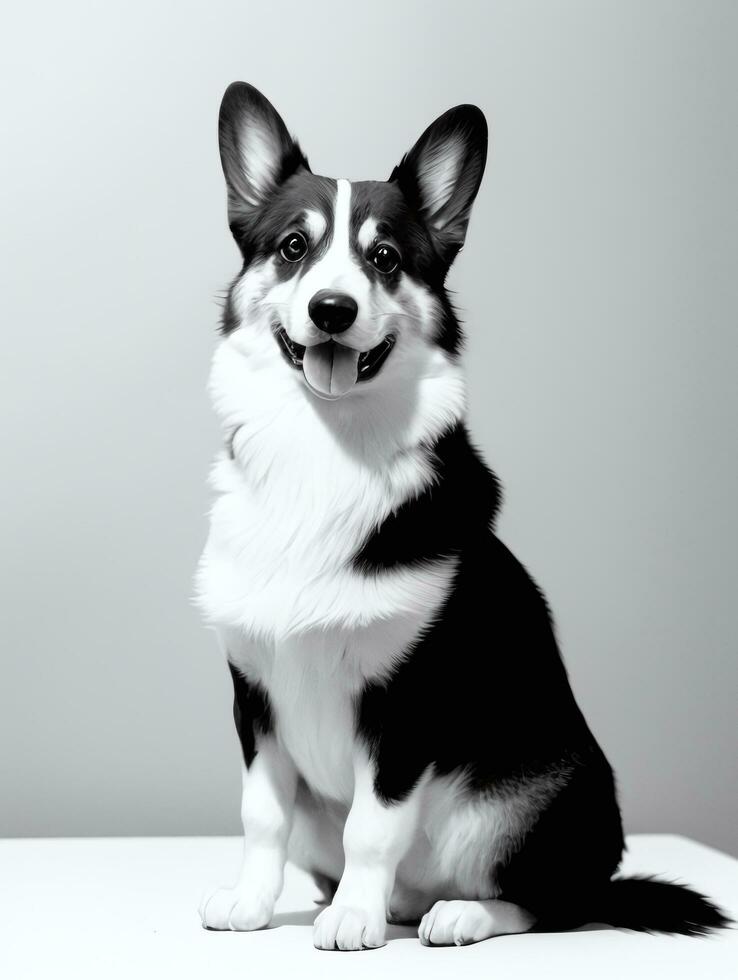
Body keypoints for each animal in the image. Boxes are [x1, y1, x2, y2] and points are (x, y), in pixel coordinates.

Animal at [194, 84, 724, 948]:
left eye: (385, 259)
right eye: (293, 248)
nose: (332, 310)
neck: (324, 453)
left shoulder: (406, 700)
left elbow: (373, 825)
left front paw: (353, 920)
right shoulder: (256, 701)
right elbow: (261, 817)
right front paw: (252, 904)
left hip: (533, 796)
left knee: (551, 902)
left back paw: (456, 913)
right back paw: (375, 903)